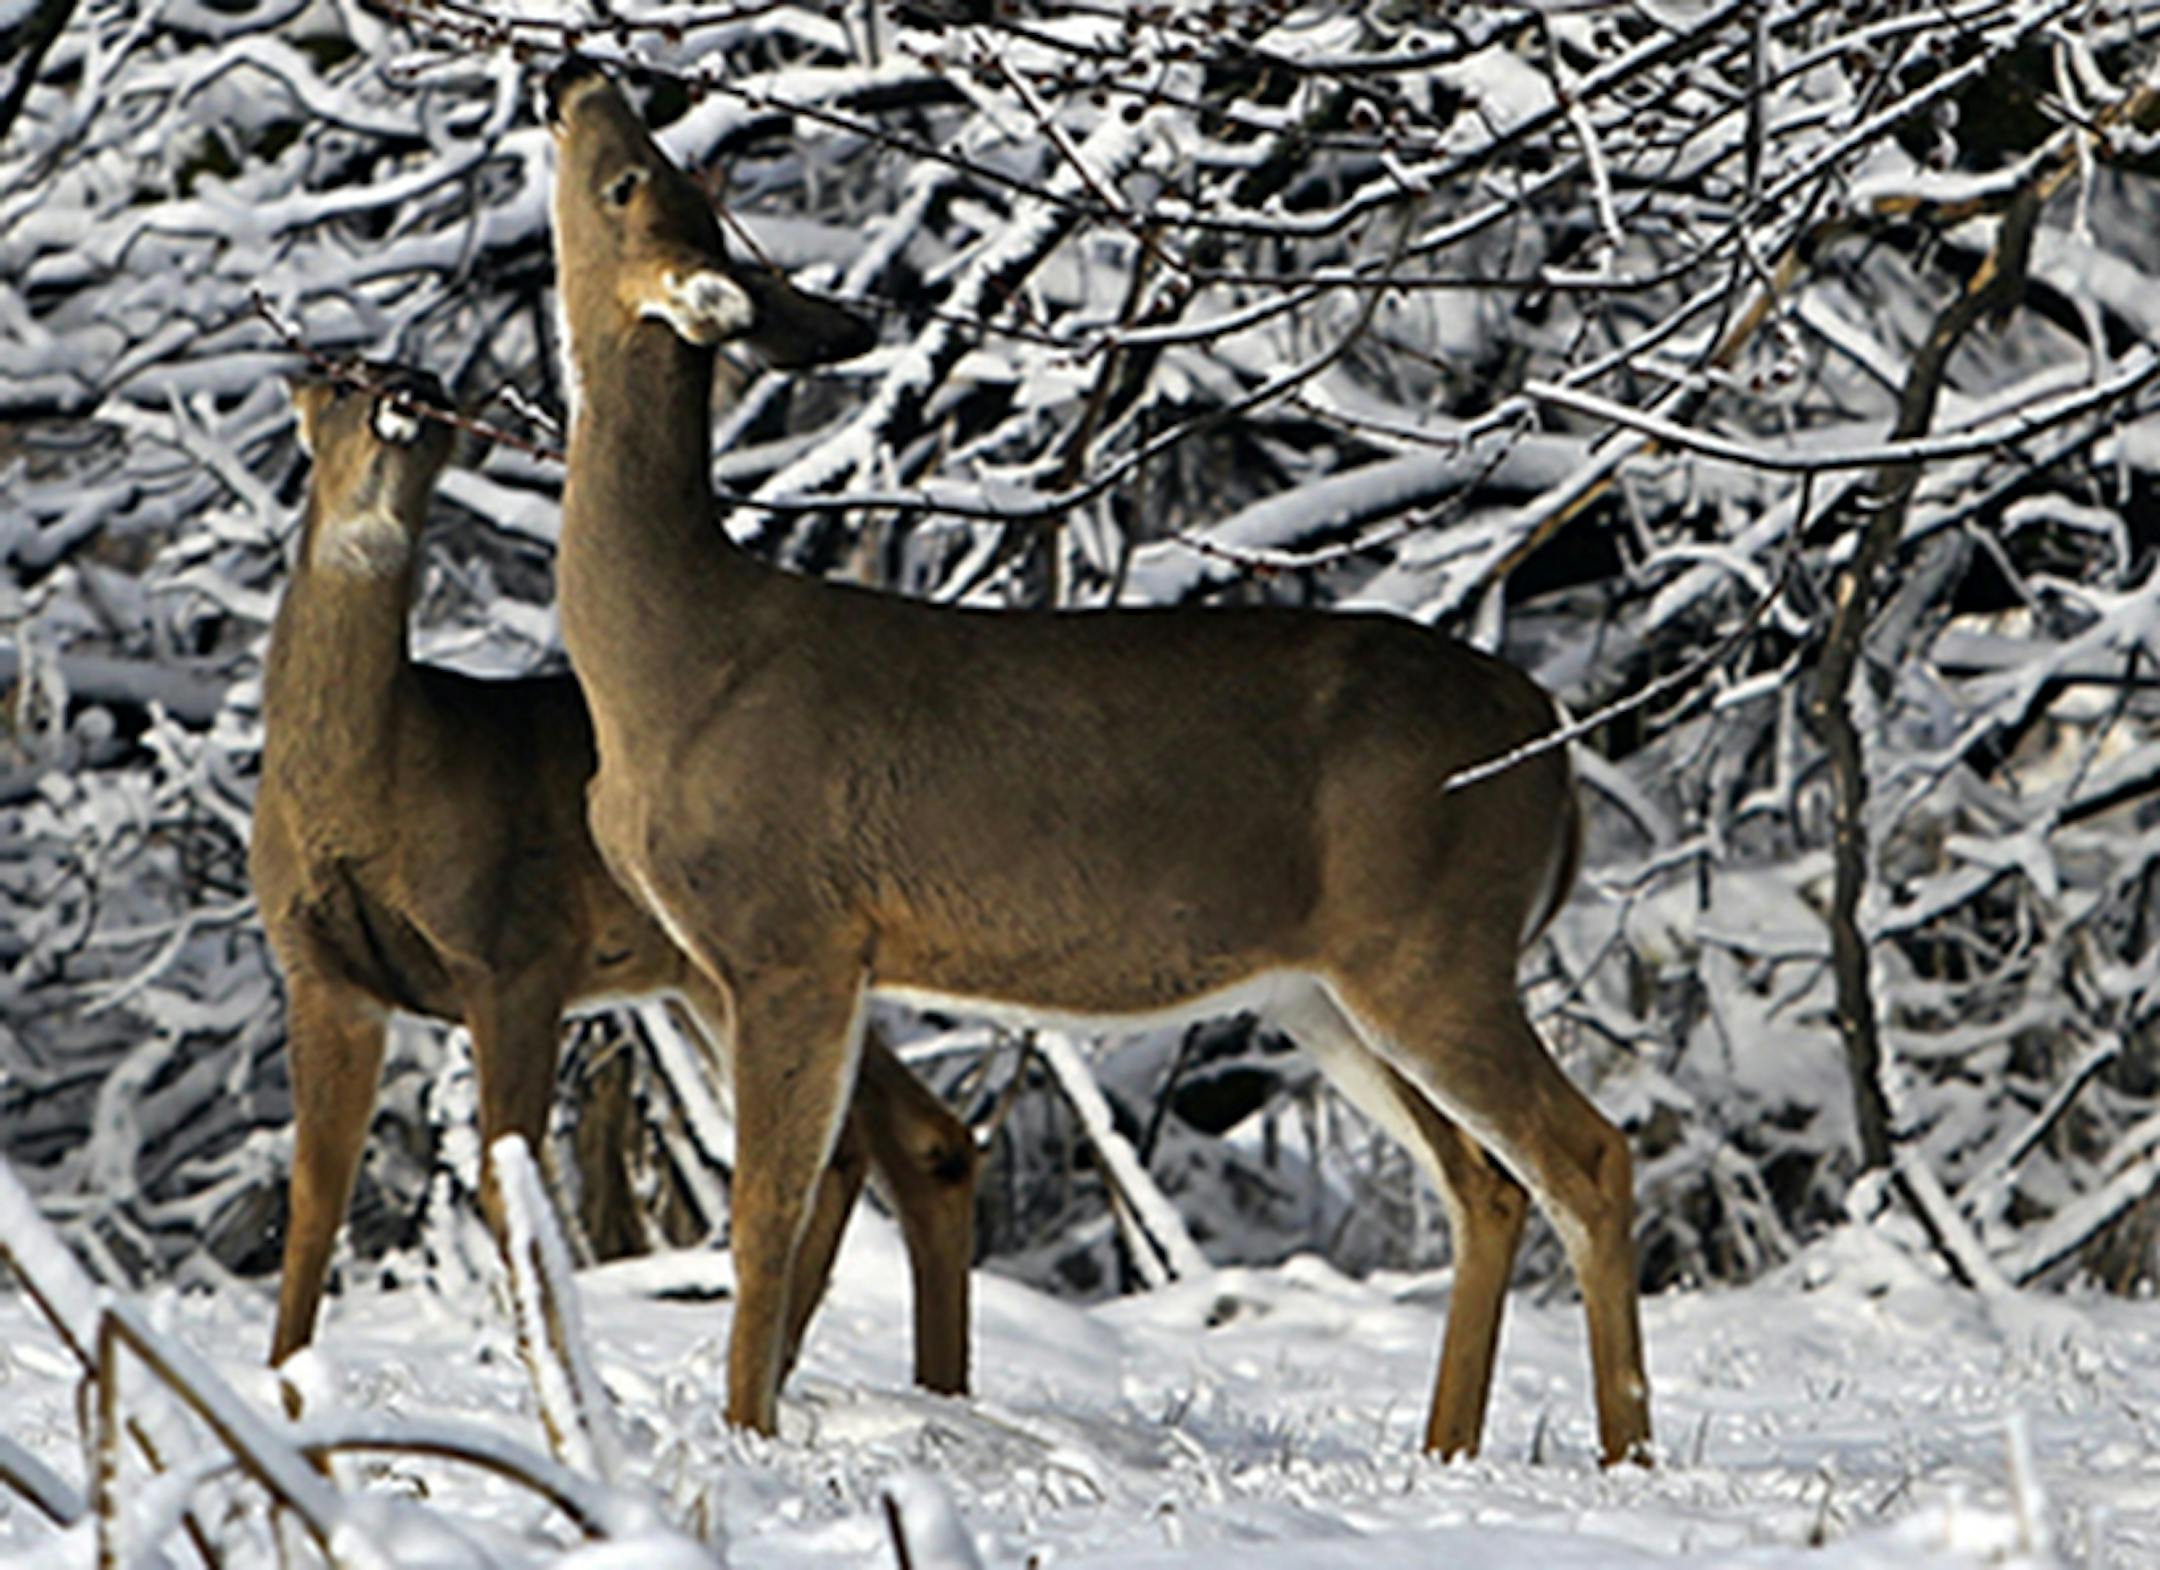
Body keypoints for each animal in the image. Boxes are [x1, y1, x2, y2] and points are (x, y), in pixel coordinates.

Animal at [250, 363, 978, 1398]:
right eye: (343, 378)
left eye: (433, 392)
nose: (410, 391)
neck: (370, 785)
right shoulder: (321, 972)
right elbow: (318, 1189)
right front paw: (282, 1383)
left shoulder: (512, 950)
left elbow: (511, 1185)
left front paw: (552, 1382)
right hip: (713, 977)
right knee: (901, 1141)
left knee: (869, 1145)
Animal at [543, 57, 1652, 1465]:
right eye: (667, 174)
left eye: (626, 181)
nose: (576, 76)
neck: (671, 660)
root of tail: (1554, 754)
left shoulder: (789, 934)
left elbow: (764, 1214)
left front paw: (747, 1434)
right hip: (1327, 985)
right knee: (1485, 1183)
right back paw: (1443, 1449)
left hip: (1437, 939)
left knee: (1587, 1156)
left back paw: (1627, 1454)